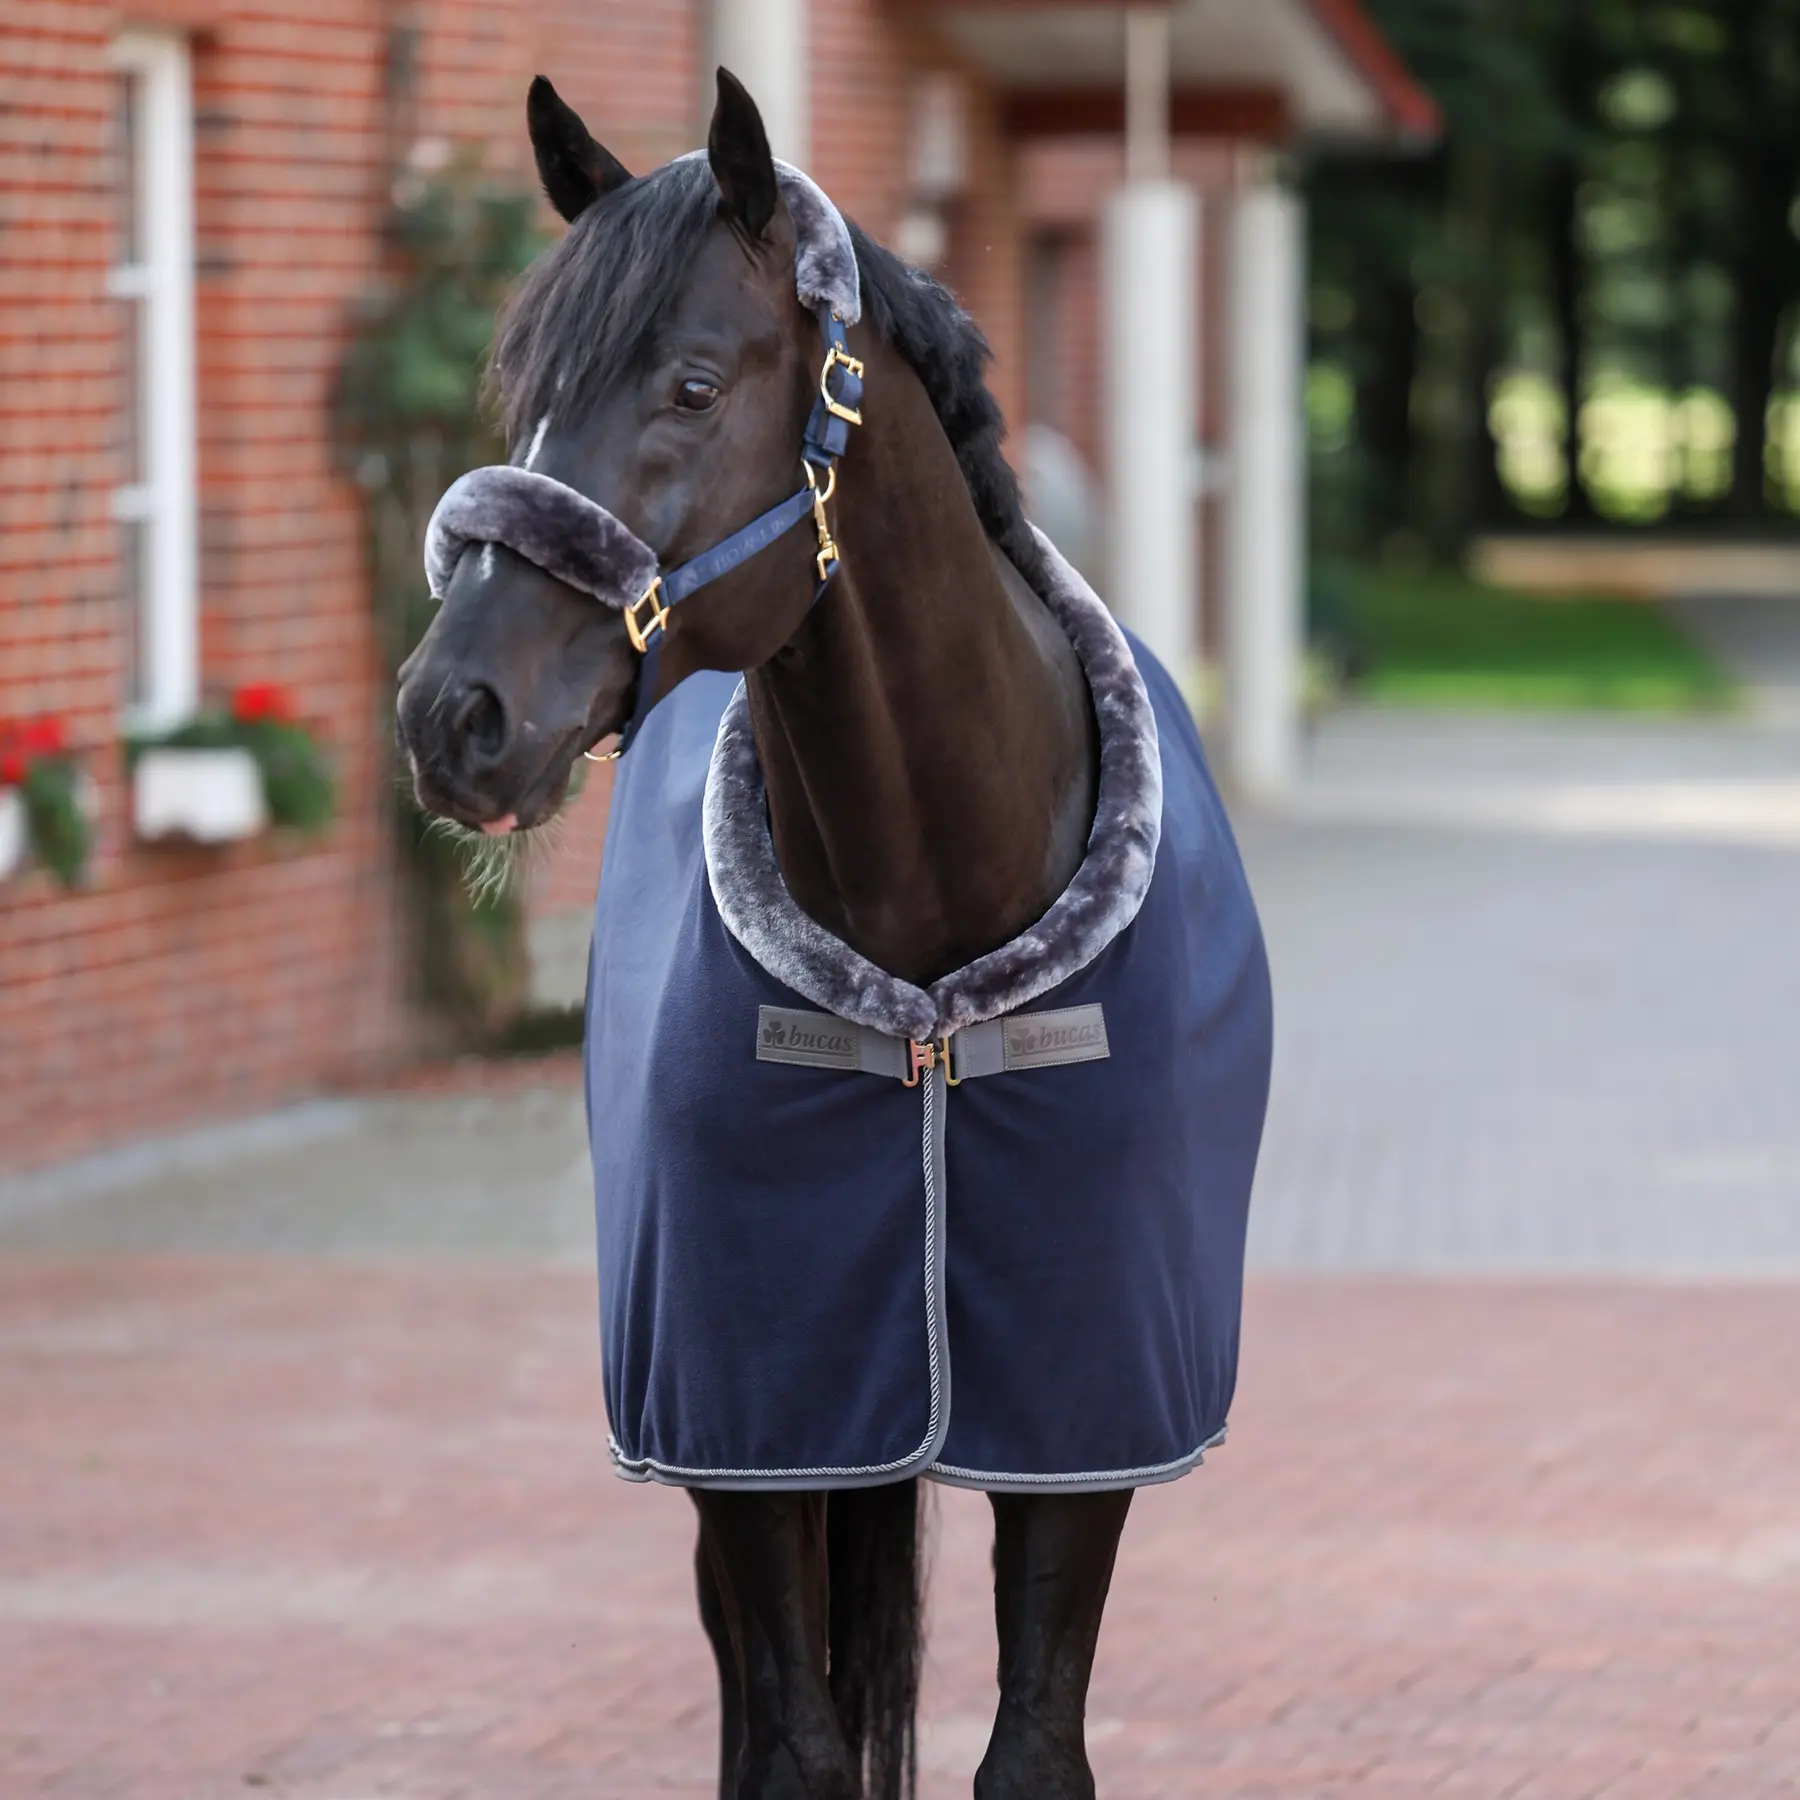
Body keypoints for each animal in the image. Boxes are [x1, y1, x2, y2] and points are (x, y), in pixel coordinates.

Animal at [396, 68, 1271, 1800]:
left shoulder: (1086, 1431)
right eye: (525, 390)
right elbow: (790, 1745)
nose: (451, 715)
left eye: (690, 381)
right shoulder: (743, 1422)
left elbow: (1033, 1749)